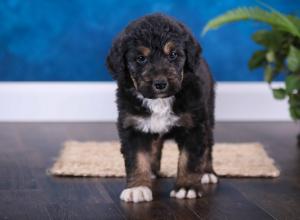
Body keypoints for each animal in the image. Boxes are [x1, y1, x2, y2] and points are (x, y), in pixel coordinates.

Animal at [106, 13, 218, 203]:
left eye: (173, 54)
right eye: (140, 58)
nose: (160, 84)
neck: (160, 101)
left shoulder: (194, 125)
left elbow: (189, 159)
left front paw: (187, 187)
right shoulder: (133, 125)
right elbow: (137, 158)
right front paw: (138, 187)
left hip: (208, 113)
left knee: (208, 145)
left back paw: (207, 173)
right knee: (155, 145)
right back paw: (152, 171)